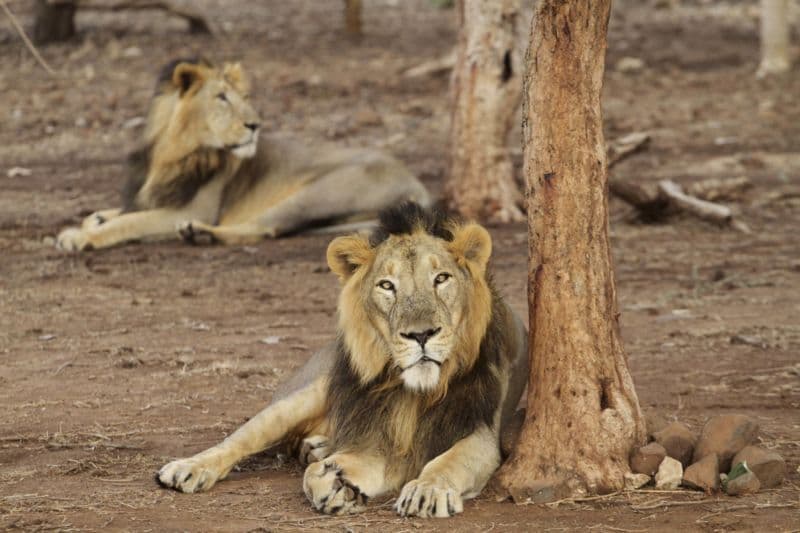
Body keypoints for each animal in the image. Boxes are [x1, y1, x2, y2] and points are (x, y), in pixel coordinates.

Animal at [56, 59, 432, 250]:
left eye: (245, 96)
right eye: (221, 97)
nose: (255, 125)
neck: (170, 150)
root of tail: (419, 185)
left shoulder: (194, 206)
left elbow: (127, 222)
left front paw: (80, 237)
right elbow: (111, 213)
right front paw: (93, 221)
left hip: (313, 193)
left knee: (264, 228)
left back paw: (200, 233)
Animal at [156, 203, 532, 516]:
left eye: (441, 278)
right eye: (387, 285)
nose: (421, 335)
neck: (417, 394)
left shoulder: (483, 434)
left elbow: (449, 462)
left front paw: (427, 490)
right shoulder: (381, 439)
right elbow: (312, 474)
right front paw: (335, 486)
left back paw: (318, 447)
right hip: (305, 393)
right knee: (243, 436)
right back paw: (188, 468)